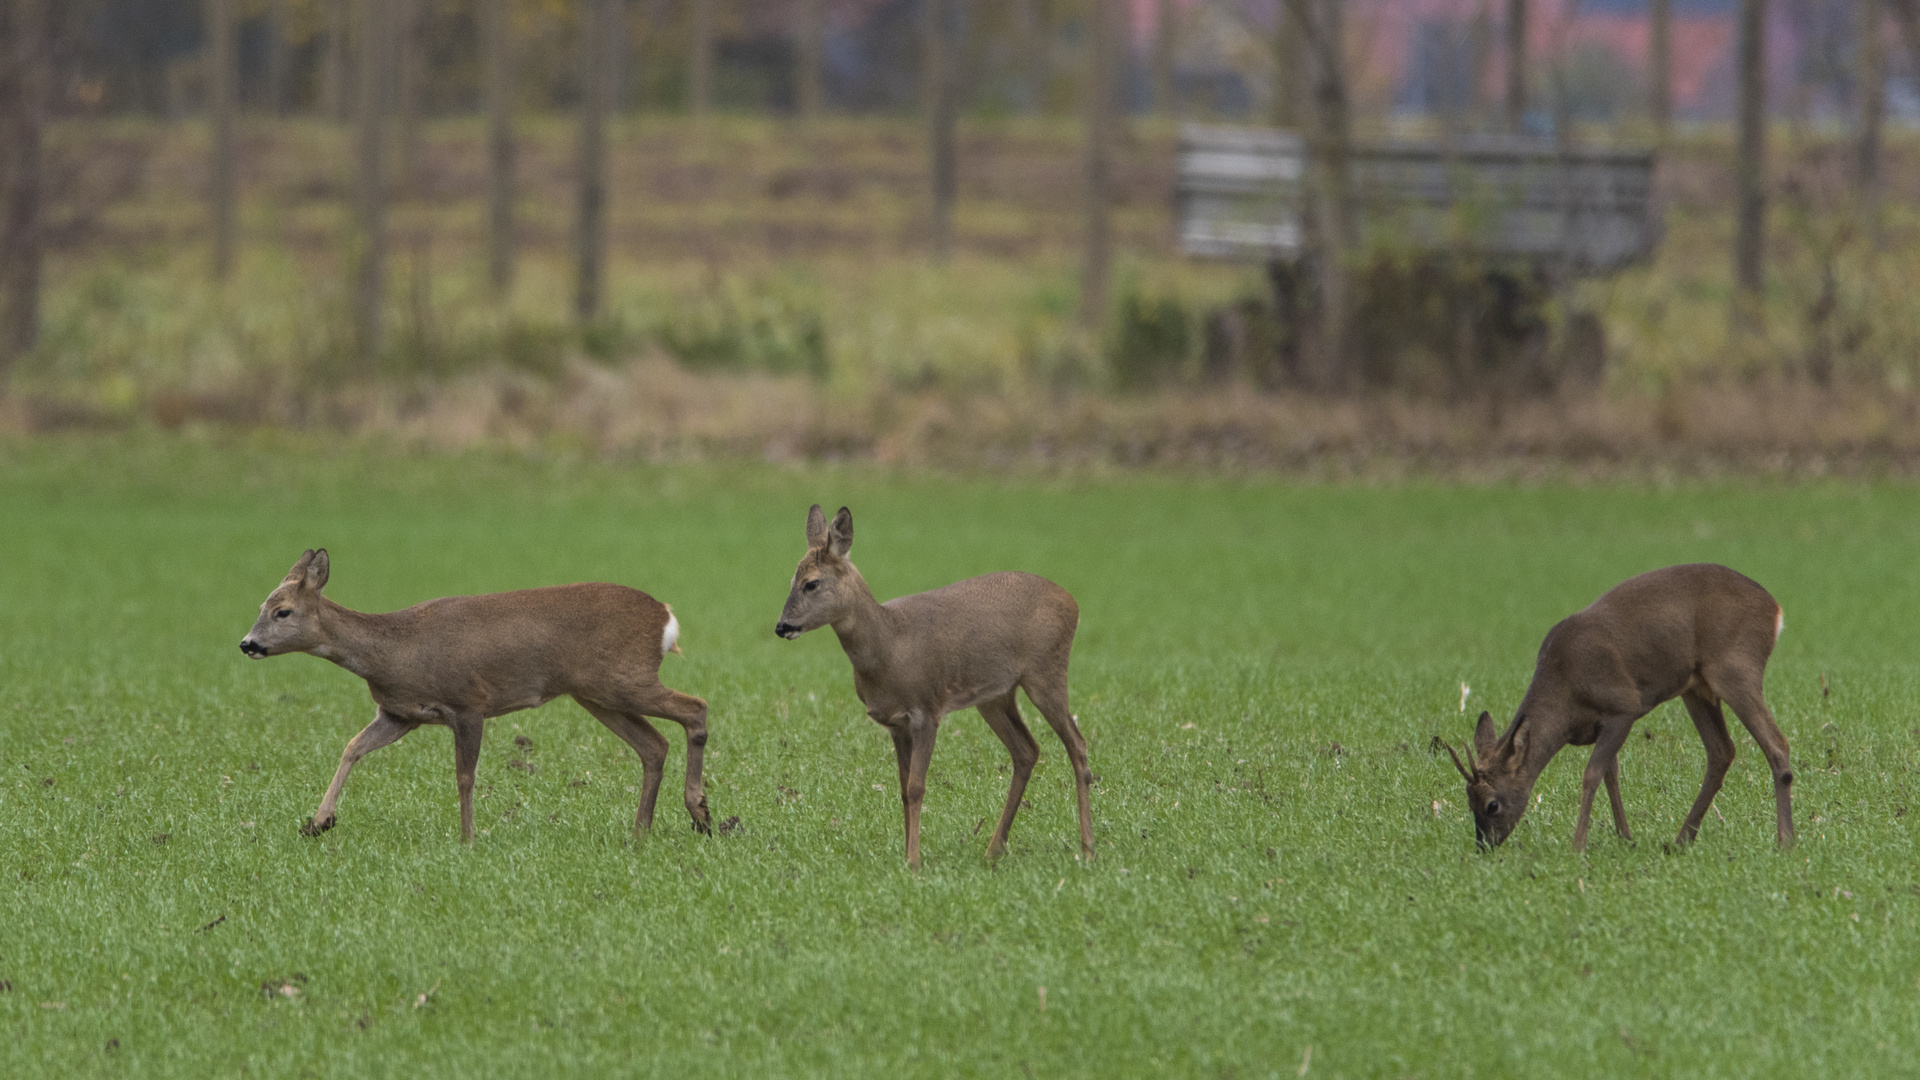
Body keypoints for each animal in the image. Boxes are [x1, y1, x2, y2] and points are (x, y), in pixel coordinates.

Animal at [240, 545, 714, 841]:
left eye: (283, 611)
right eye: (261, 607)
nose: (247, 643)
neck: (394, 651)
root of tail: (666, 617)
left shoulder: (468, 702)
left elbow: (464, 776)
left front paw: (468, 838)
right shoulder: (399, 713)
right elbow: (352, 747)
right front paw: (318, 822)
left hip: (624, 678)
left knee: (696, 707)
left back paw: (699, 812)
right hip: (597, 694)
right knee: (654, 744)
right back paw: (641, 831)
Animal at [768, 503, 1090, 864]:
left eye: (811, 583)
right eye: (791, 580)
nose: (782, 626)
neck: (890, 646)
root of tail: (1073, 603)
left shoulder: (926, 709)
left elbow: (916, 787)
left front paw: (914, 860)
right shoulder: (895, 723)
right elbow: (902, 787)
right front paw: (906, 853)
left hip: (1047, 670)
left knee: (1077, 744)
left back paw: (1087, 848)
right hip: (995, 695)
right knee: (1027, 750)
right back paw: (993, 849)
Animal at [1443, 564, 1797, 849]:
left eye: (1492, 805)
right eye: (1468, 800)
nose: (1484, 845)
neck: (1565, 699)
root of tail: (1776, 610)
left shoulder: (1623, 706)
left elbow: (1592, 773)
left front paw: (1578, 845)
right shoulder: (1601, 723)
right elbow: (1611, 773)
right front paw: (1625, 837)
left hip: (1736, 667)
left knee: (1776, 743)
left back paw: (1785, 841)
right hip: (1697, 688)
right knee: (1722, 750)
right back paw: (1681, 839)